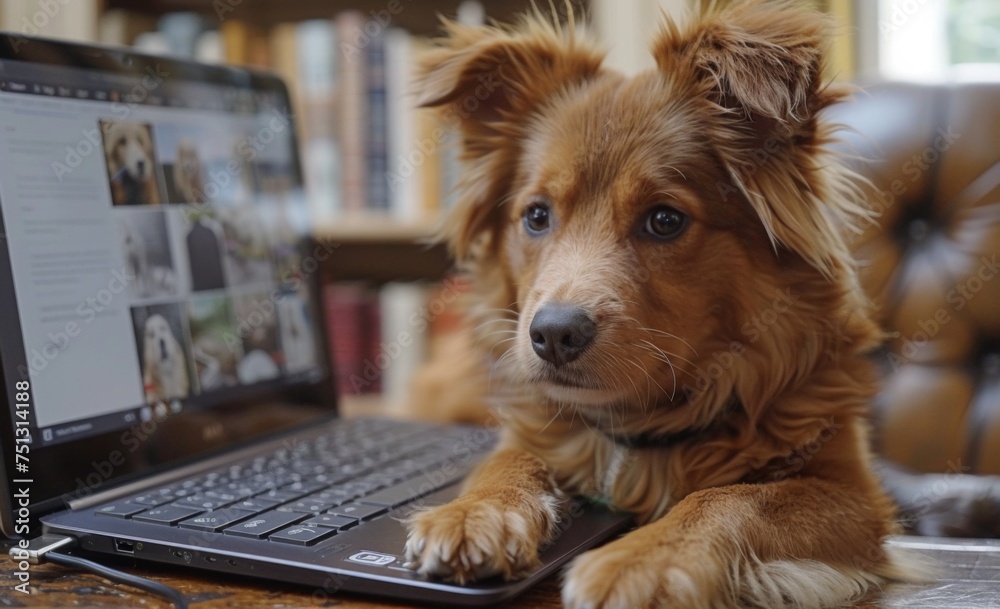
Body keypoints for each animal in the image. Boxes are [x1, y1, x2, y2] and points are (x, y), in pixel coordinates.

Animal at [404, 1, 920, 608]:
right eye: (535, 215)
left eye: (665, 220)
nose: (552, 335)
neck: (642, 424)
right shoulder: (536, 429)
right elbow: (508, 456)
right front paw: (473, 511)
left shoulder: (856, 498)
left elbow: (733, 497)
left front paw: (640, 562)